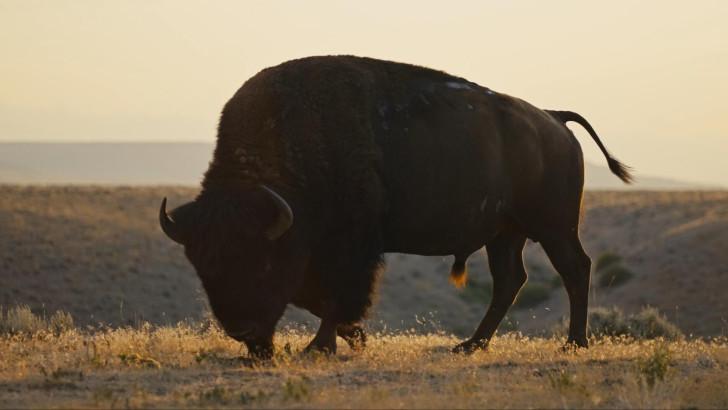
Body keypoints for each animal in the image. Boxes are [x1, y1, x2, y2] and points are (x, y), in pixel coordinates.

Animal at [159, 55, 632, 358]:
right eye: (203, 267)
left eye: (261, 262)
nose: (243, 332)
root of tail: (553, 119)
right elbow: (320, 300)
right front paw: (353, 337)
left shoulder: (351, 249)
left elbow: (336, 297)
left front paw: (321, 347)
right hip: (504, 233)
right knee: (510, 281)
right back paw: (470, 345)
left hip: (554, 226)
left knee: (574, 269)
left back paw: (573, 343)